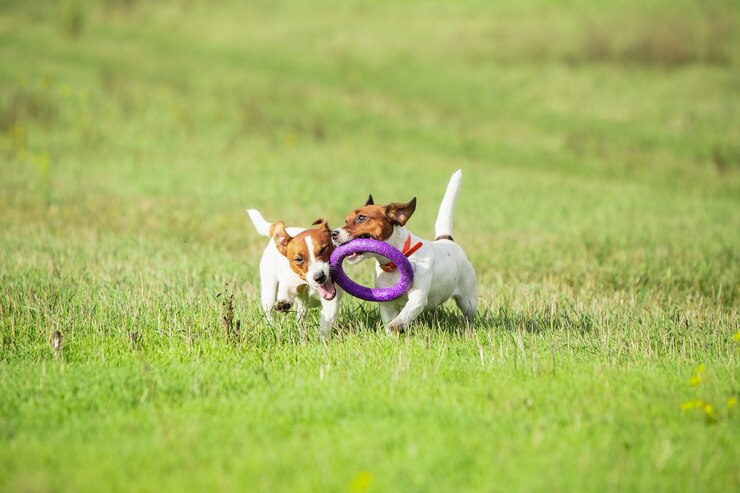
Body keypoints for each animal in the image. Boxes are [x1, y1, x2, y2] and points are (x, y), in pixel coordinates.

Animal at [247, 208, 342, 338]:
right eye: (299, 259)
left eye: (323, 249)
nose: (319, 277)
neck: (309, 285)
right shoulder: (288, 285)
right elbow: (284, 295)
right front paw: (283, 304)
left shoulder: (332, 298)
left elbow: (326, 320)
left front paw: (322, 338)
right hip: (269, 291)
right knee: (270, 313)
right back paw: (272, 327)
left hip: (302, 305)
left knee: (300, 318)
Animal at [330, 169, 480, 334]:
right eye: (346, 220)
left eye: (361, 218)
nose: (333, 233)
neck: (393, 265)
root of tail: (446, 240)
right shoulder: (386, 303)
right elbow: (388, 322)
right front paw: (390, 335)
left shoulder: (418, 296)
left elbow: (407, 310)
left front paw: (398, 323)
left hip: (468, 299)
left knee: (469, 315)